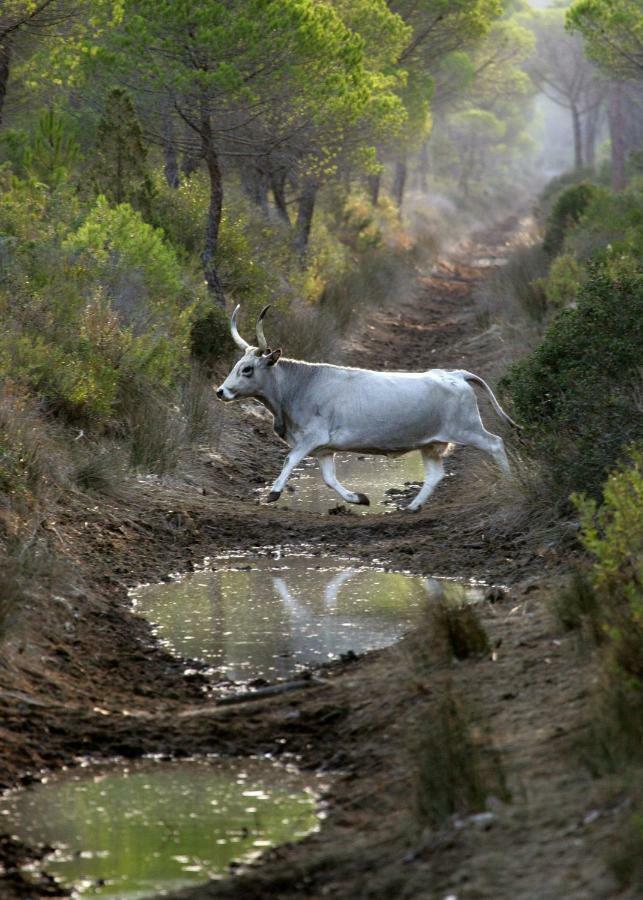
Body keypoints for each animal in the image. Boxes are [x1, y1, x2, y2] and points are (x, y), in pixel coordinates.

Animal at [216, 306, 520, 510]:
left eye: (247, 369)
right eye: (235, 366)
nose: (221, 391)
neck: (300, 386)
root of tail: (455, 374)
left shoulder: (312, 438)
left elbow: (289, 460)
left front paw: (273, 492)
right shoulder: (323, 449)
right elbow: (329, 478)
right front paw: (358, 498)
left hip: (467, 429)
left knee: (495, 443)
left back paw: (507, 481)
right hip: (431, 442)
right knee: (435, 475)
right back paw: (413, 506)